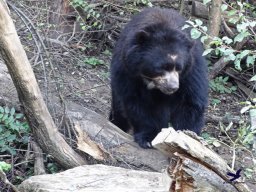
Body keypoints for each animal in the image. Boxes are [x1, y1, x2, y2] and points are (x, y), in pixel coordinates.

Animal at [109, 7, 208, 148]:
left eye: (179, 68)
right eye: (162, 67)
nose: (173, 87)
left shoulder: (192, 71)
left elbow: (190, 102)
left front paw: (187, 136)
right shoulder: (127, 70)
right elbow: (136, 101)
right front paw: (147, 138)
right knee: (119, 108)